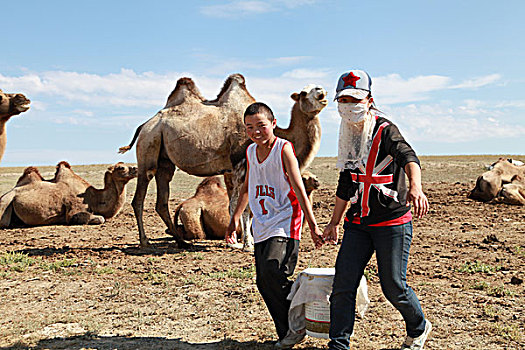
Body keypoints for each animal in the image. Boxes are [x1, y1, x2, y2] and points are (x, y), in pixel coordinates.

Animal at [0, 161, 137, 227]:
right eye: (121, 168)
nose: (136, 168)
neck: (93, 197)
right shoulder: (74, 210)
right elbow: (100, 218)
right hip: (5, 201)